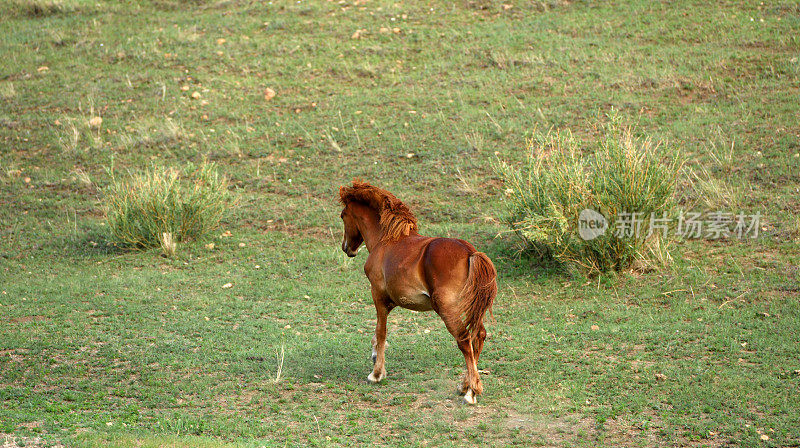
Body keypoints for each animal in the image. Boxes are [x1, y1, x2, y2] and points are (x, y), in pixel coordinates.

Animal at [336, 180, 494, 404]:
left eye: (343, 215)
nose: (347, 248)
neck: (387, 239)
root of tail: (470, 252)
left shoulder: (378, 296)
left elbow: (381, 332)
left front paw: (376, 374)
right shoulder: (390, 302)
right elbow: (377, 335)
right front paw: (375, 360)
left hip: (448, 309)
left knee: (464, 340)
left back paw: (471, 392)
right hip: (471, 309)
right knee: (478, 336)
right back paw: (464, 385)